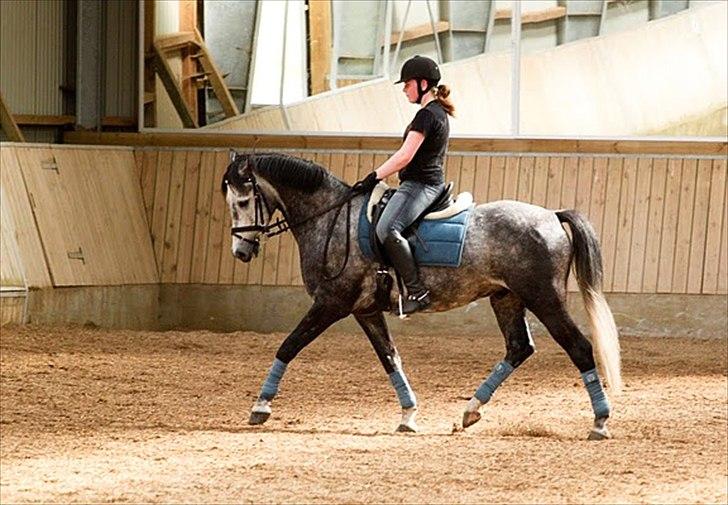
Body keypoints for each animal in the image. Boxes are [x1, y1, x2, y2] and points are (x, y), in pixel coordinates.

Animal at [222, 150, 620, 438]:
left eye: (241, 202)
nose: (240, 252)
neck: (331, 218)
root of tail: (552, 215)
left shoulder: (330, 303)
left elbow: (288, 346)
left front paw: (260, 406)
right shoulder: (364, 310)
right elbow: (390, 359)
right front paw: (408, 416)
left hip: (544, 299)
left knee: (579, 348)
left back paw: (600, 422)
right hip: (506, 298)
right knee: (519, 348)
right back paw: (470, 411)